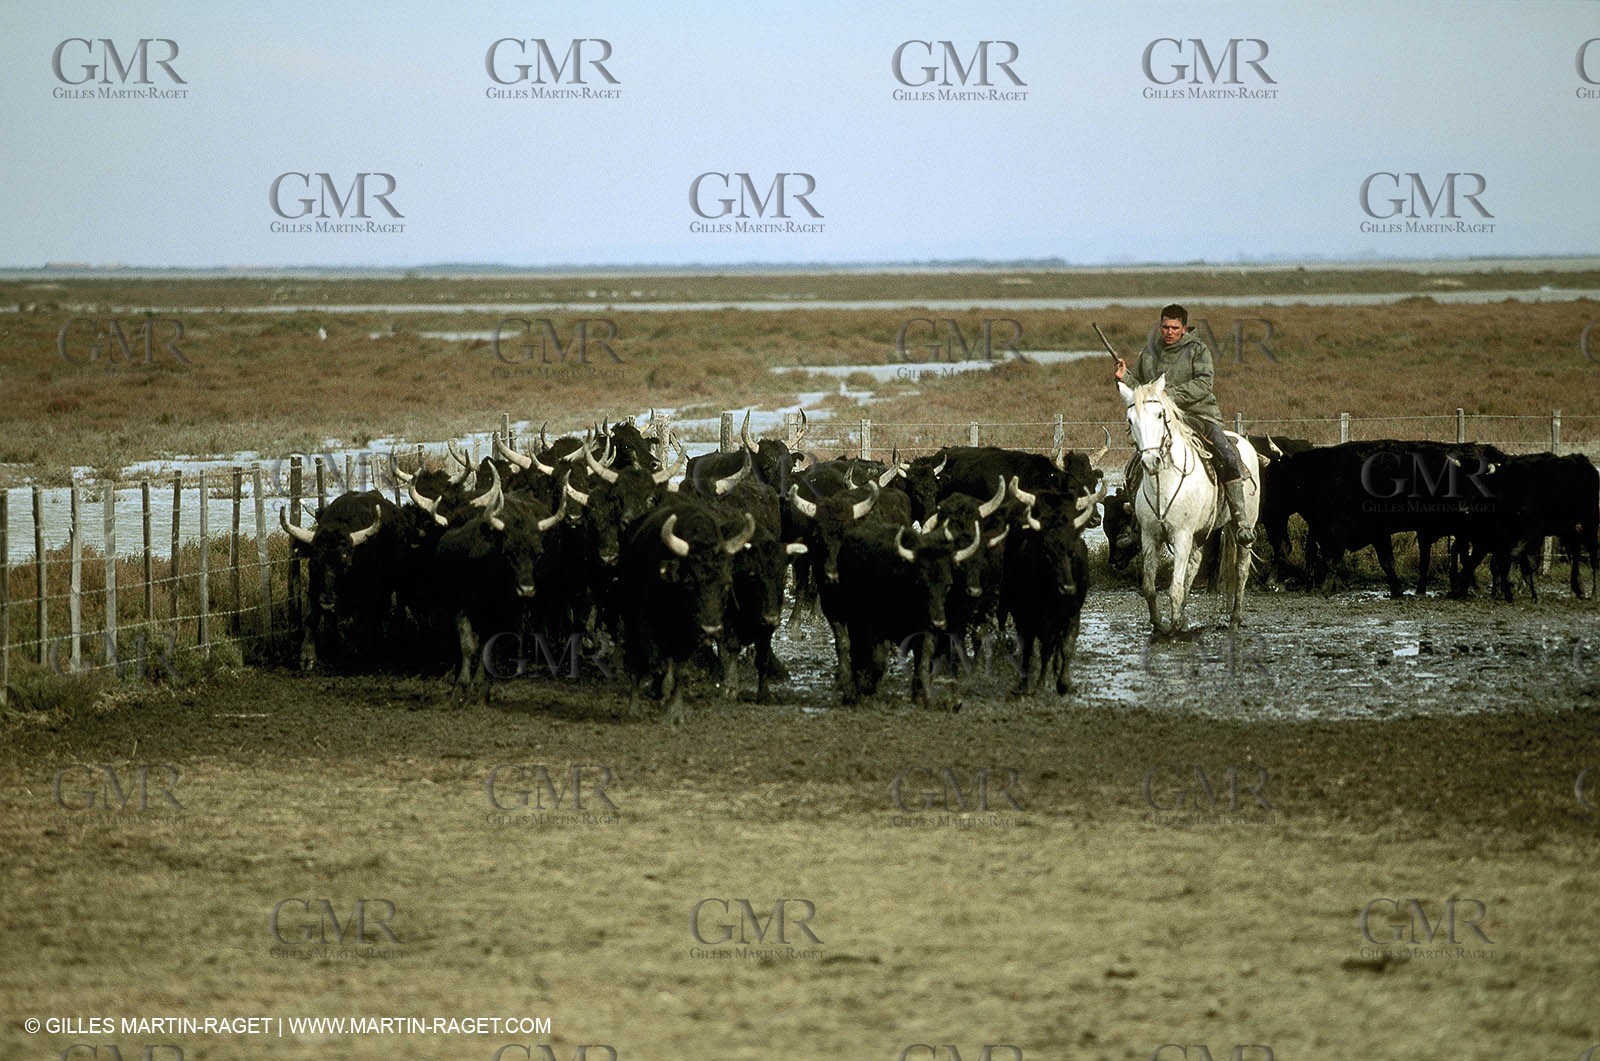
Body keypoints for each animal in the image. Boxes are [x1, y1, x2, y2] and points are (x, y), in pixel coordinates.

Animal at [1117, 376, 1261, 636]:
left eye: (1160, 415)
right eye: (1130, 420)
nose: (1151, 461)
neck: (1164, 484)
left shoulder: (1182, 534)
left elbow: (1175, 587)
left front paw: (1174, 630)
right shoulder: (1150, 536)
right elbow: (1150, 587)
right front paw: (1159, 625)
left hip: (1242, 526)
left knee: (1241, 569)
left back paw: (1235, 619)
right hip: (1201, 533)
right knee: (1194, 566)